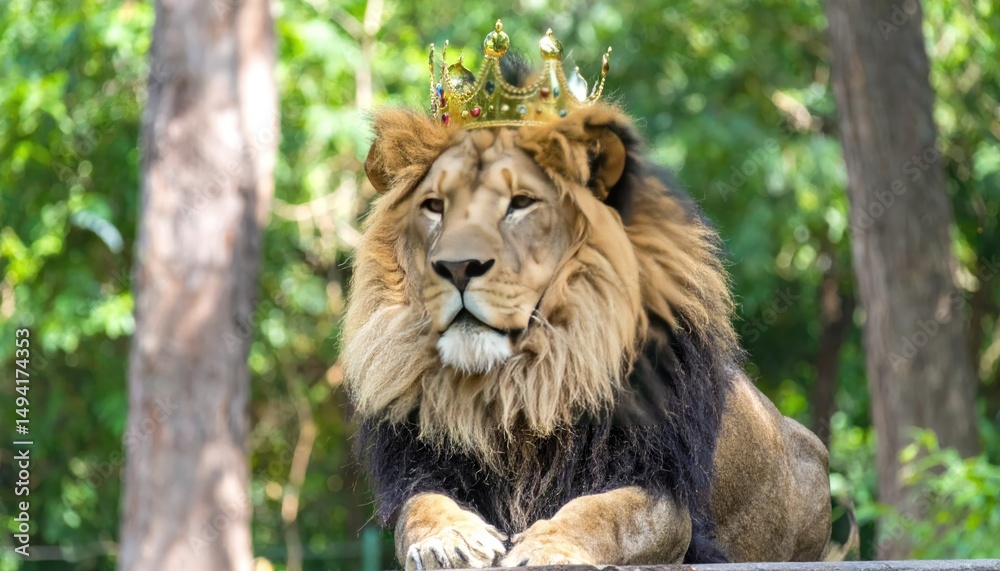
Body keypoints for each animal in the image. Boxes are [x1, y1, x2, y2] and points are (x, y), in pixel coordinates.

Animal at [343, 76, 833, 567]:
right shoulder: (423, 468)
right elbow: (420, 507)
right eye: (434, 206)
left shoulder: (663, 493)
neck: (523, 383)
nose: (458, 266)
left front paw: (546, 547)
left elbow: (603, 512)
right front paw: (449, 540)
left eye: (520, 203)